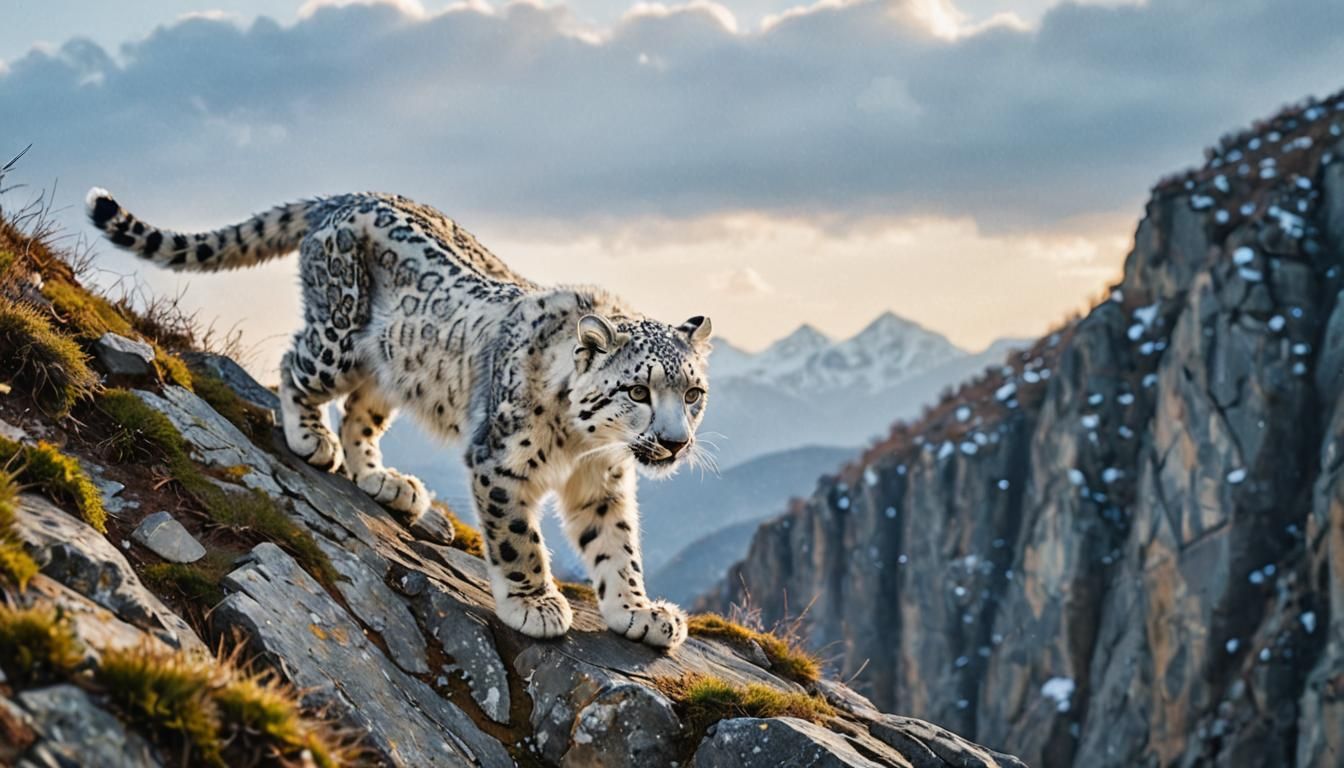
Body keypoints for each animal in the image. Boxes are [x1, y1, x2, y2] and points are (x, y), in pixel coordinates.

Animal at [87, 187, 713, 649]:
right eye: (637, 389)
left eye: (693, 392)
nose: (675, 443)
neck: (585, 445)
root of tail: (345, 196)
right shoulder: (499, 463)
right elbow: (519, 540)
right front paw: (534, 604)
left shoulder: (602, 481)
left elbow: (617, 546)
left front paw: (639, 612)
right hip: (338, 337)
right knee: (294, 366)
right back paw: (311, 439)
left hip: (390, 369)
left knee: (359, 417)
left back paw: (386, 482)